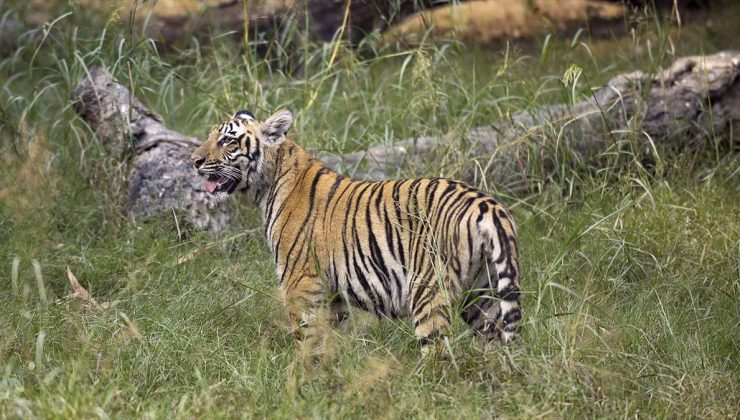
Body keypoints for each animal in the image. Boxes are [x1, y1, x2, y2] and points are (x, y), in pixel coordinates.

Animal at [194, 107, 524, 352]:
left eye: (227, 141)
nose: (195, 161)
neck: (267, 184)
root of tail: (488, 205)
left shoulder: (300, 281)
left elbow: (306, 337)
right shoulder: (333, 295)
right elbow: (327, 337)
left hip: (430, 288)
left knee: (439, 353)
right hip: (482, 292)